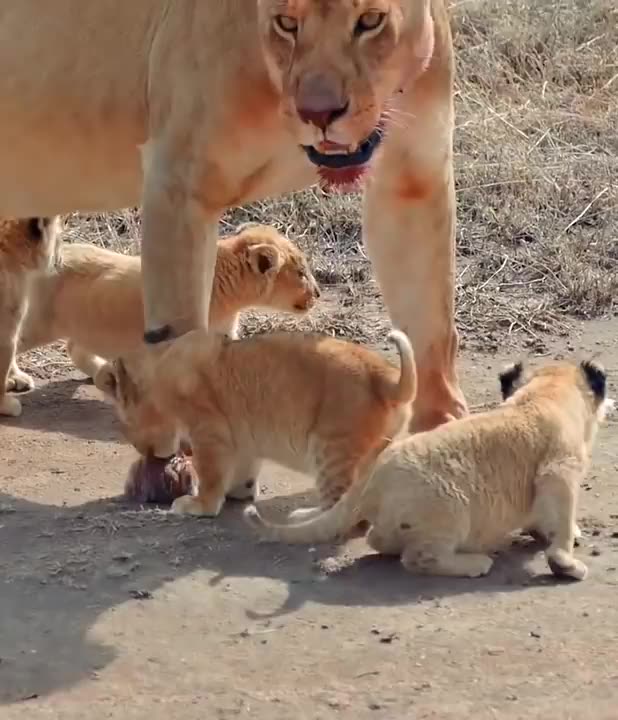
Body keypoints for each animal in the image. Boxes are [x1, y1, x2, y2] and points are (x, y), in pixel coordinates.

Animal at [10, 223, 319, 385]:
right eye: (301, 273)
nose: (317, 293)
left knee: (75, 347)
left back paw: (105, 374)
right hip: (40, 322)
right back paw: (16, 383)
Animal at [94, 329, 417, 518]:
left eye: (125, 425)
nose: (142, 451)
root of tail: (385, 374)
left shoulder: (208, 430)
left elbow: (210, 473)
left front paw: (200, 505)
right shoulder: (241, 436)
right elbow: (243, 467)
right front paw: (241, 492)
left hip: (331, 447)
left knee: (337, 502)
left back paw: (305, 517)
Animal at [245, 359, 612, 582]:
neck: (546, 390)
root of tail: (371, 480)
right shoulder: (559, 471)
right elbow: (562, 519)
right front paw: (565, 562)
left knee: (379, 540)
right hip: (451, 509)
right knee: (417, 558)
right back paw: (475, 563)